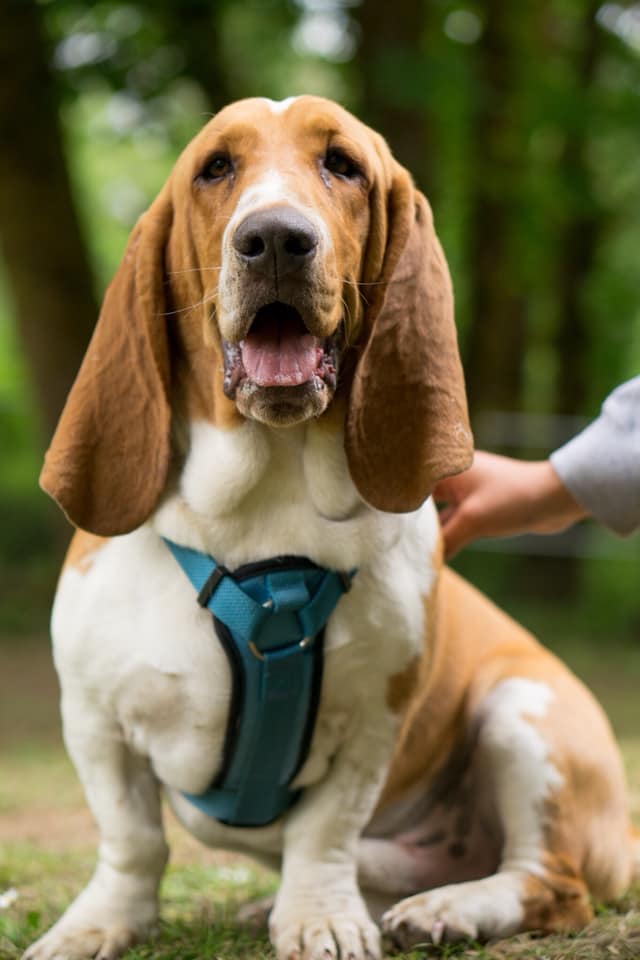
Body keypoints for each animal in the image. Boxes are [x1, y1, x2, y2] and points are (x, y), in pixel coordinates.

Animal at [27, 95, 632, 960]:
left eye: (342, 165)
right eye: (216, 167)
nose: (276, 237)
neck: (263, 515)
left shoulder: (371, 722)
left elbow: (323, 833)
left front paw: (320, 919)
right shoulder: (94, 718)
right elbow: (131, 839)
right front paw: (98, 925)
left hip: (525, 712)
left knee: (553, 884)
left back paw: (449, 907)